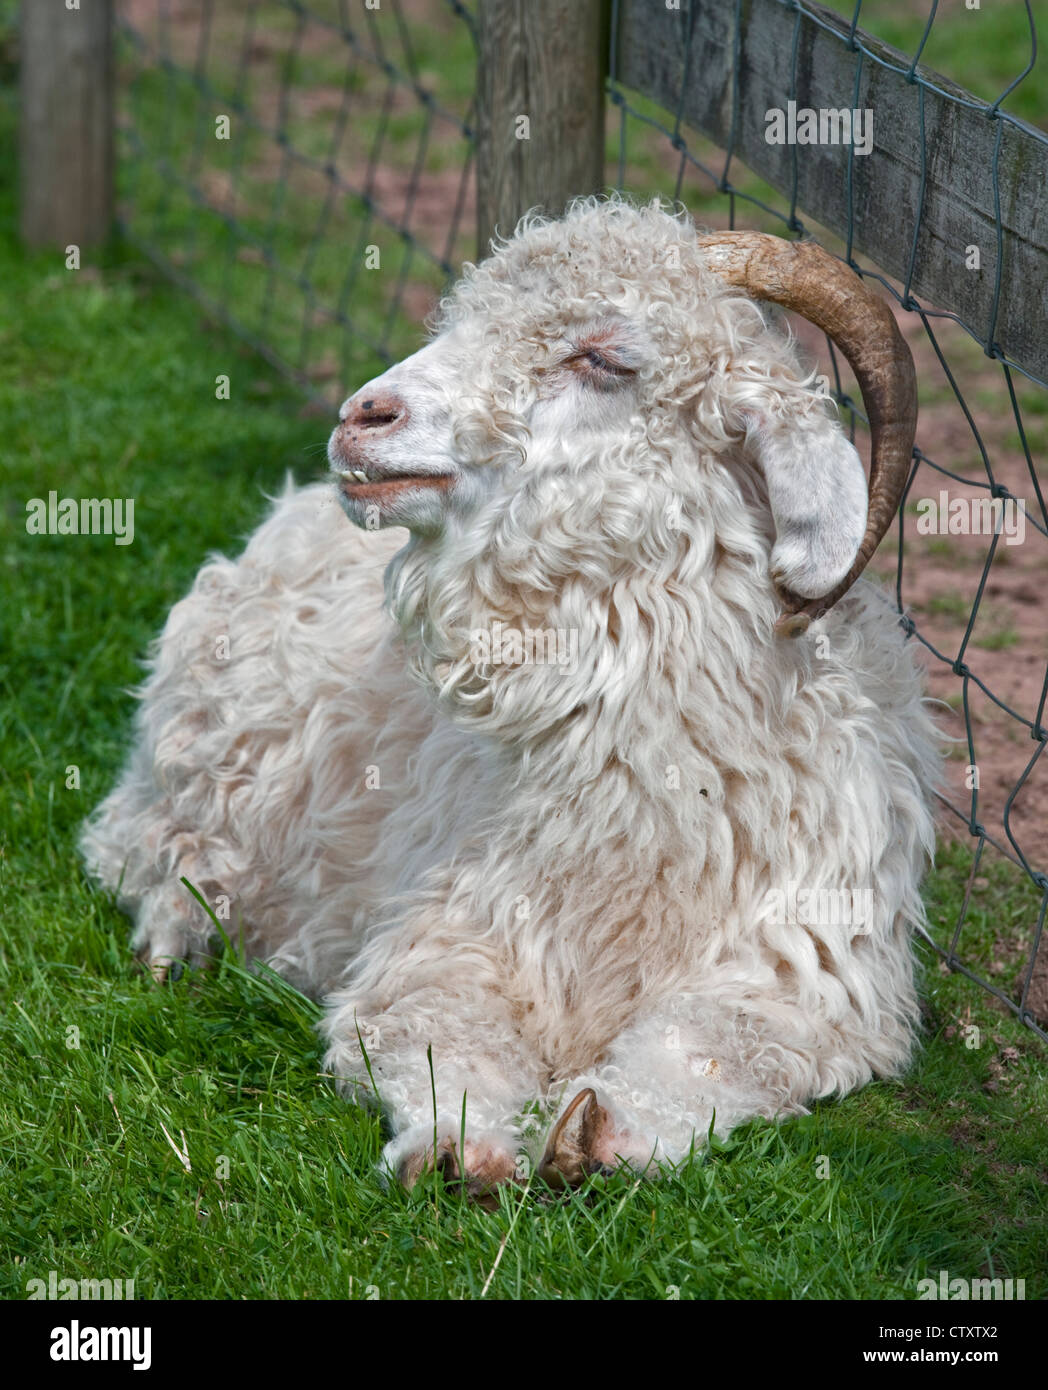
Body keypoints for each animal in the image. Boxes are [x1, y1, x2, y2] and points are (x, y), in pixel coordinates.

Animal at [82, 197, 941, 1203]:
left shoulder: (810, 979)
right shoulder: (447, 939)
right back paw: (178, 938)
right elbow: (434, 1035)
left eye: (605, 358)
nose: (362, 416)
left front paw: (604, 1128)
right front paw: (461, 1146)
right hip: (199, 766)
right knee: (143, 843)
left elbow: (716, 1053)